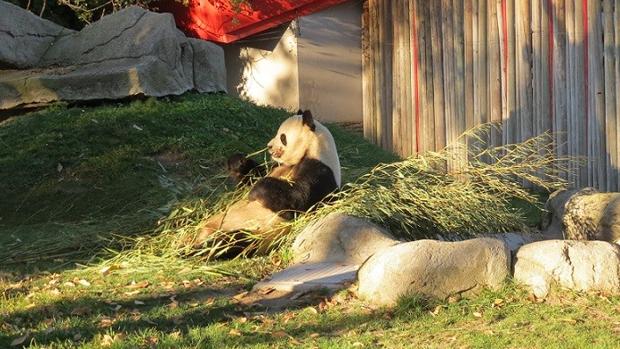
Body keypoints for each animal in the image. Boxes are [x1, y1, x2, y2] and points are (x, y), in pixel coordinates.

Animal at [193, 109, 340, 247]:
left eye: (282, 137)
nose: (269, 145)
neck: (311, 150)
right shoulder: (277, 166)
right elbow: (252, 177)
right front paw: (238, 162)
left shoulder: (321, 171)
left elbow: (296, 199)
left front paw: (256, 191)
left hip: (254, 233)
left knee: (231, 242)